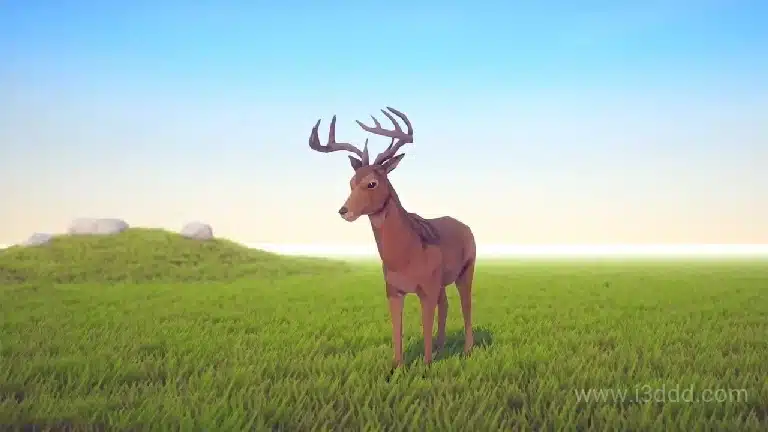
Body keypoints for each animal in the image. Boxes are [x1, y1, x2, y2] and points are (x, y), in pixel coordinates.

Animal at [307, 107, 476, 372]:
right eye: (351, 182)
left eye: (372, 183)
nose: (344, 211)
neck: (407, 253)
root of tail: (466, 226)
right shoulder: (393, 290)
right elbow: (397, 328)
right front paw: (397, 366)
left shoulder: (426, 289)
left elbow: (425, 326)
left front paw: (426, 365)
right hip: (441, 282)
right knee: (446, 304)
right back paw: (441, 348)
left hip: (466, 270)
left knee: (466, 304)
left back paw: (467, 349)